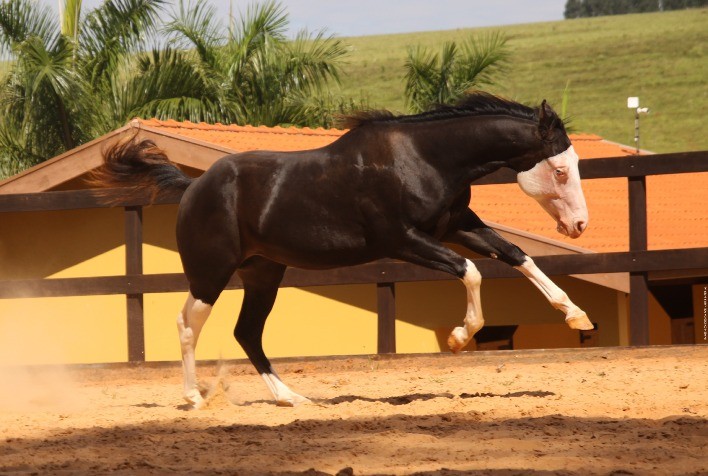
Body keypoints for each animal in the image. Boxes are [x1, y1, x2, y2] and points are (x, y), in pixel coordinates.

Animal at [94, 94, 592, 410]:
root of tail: (192, 187)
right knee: (188, 324)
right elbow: (470, 271)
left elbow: (517, 256)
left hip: (263, 273)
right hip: (210, 273)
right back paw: (195, 398)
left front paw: (577, 317)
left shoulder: (457, 226)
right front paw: (457, 337)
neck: (424, 158)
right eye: (561, 170)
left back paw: (290, 398)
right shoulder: (402, 240)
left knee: (247, 332)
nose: (579, 226)